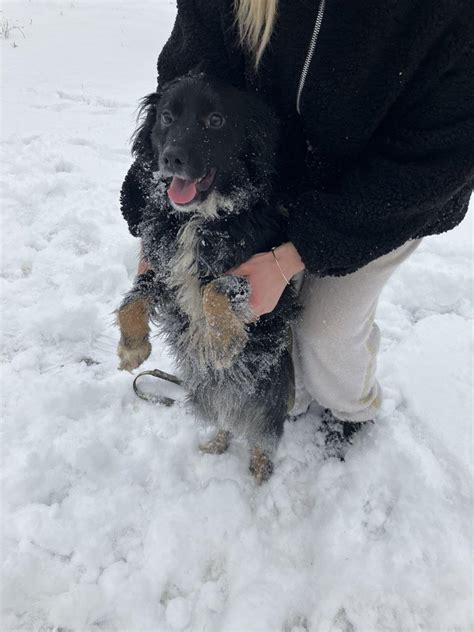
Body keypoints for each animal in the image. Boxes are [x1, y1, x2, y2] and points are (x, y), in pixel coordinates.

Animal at [116, 71, 298, 482]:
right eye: (167, 117)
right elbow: (134, 297)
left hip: (268, 395)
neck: (198, 217)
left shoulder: (263, 281)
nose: (171, 158)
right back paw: (215, 444)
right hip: (204, 395)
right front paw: (132, 348)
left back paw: (260, 470)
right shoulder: (165, 272)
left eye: (215, 120)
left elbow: (216, 288)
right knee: (226, 421)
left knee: (262, 435)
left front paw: (223, 342)